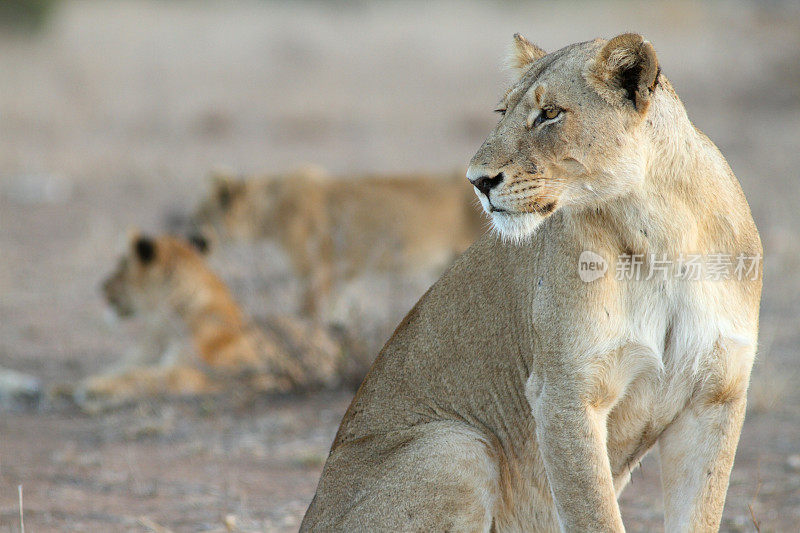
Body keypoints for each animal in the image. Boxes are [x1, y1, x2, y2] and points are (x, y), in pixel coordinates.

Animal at [75, 232, 350, 408]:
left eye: (121, 265)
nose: (102, 286)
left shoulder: (201, 374)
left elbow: (145, 376)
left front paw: (93, 386)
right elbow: (124, 368)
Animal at [302, 34, 764, 532]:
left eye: (550, 114)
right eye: (503, 112)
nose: (477, 180)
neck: (660, 234)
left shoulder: (717, 395)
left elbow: (700, 513)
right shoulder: (564, 393)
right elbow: (595, 516)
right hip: (458, 444)